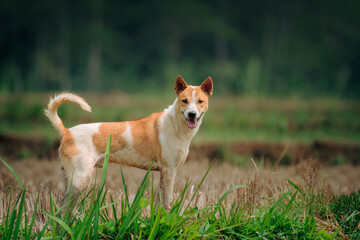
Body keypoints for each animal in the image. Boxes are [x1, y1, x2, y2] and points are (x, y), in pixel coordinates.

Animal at [46, 75, 212, 210]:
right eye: (184, 101)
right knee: (63, 206)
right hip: (81, 179)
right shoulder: (168, 170)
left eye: (200, 101)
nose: (192, 114)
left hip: (70, 178)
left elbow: (160, 201)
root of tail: (66, 131)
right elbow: (167, 202)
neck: (175, 124)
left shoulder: (167, 172)